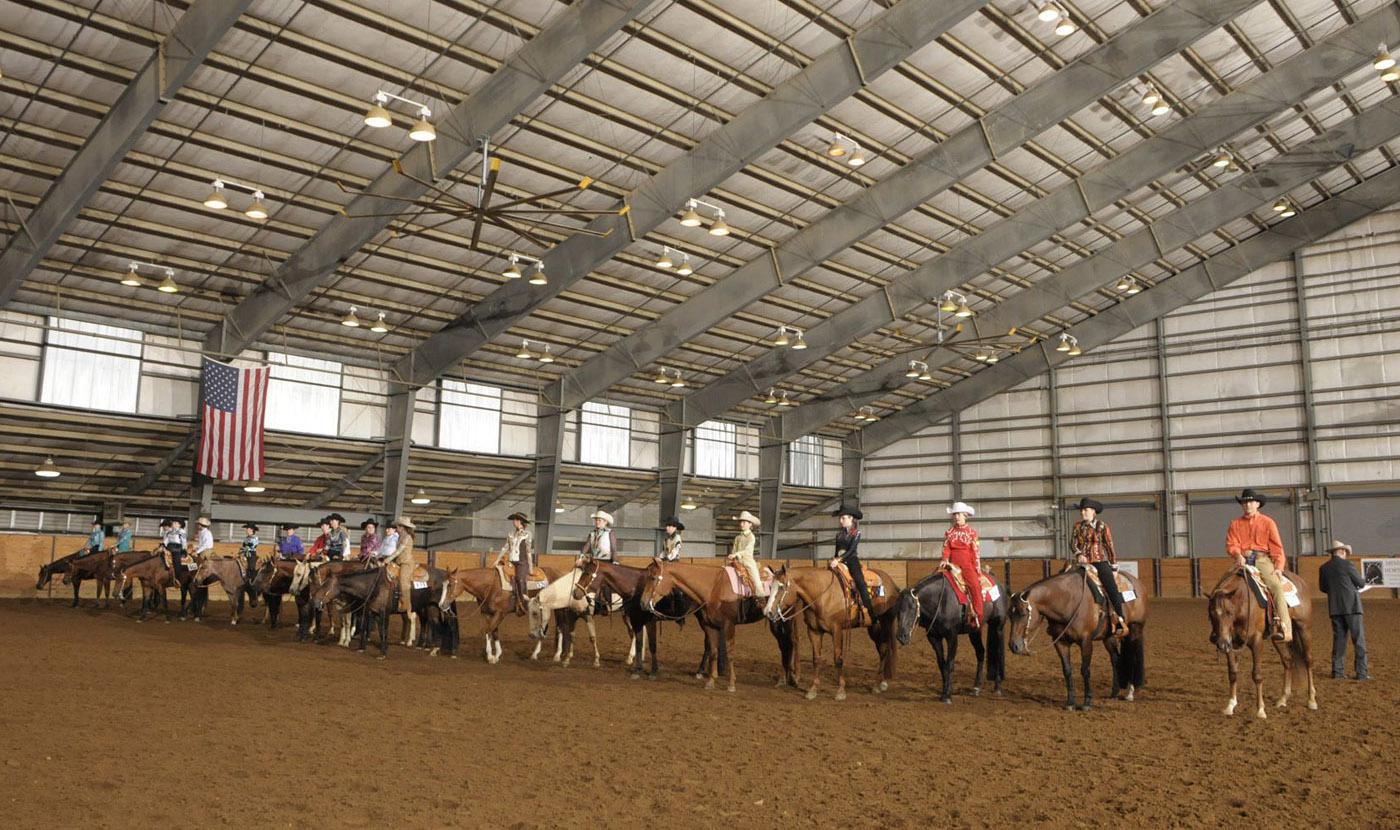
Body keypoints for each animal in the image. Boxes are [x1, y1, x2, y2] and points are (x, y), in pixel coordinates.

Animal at [638, 557, 795, 691]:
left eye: (653, 578)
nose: (642, 603)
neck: (714, 587)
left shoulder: (729, 625)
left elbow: (730, 652)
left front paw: (731, 684)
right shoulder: (710, 626)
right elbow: (713, 651)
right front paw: (710, 681)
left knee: (786, 646)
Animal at [761, 562, 901, 699]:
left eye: (781, 587)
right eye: (770, 587)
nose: (767, 612)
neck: (822, 595)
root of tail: (892, 584)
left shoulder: (837, 630)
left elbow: (838, 659)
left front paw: (840, 691)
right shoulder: (814, 631)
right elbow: (816, 659)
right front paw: (813, 690)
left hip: (885, 623)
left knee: (884, 649)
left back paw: (877, 685)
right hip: (873, 627)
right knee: (883, 648)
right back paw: (881, 683)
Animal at [896, 573, 1008, 702]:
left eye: (913, 608)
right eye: (897, 609)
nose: (901, 636)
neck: (941, 602)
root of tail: (999, 585)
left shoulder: (952, 637)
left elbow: (950, 663)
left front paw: (947, 696)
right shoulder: (934, 638)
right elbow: (941, 664)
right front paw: (946, 690)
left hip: (998, 627)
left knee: (998, 653)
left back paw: (997, 687)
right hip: (974, 631)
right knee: (980, 652)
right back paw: (976, 688)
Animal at [1008, 565, 1148, 708]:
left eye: (1023, 613)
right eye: (1009, 615)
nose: (1013, 646)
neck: (1067, 601)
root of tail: (1137, 583)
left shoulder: (1085, 641)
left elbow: (1085, 670)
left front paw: (1087, 702)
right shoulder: (1060, 642)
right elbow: (1067, 670)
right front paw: (1070, 703)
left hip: (1135, 630)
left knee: (1133, 656)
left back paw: (1130, 693)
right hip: (1109, 637)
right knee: (1115, 659)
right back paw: (1114, 692)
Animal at [1209, 565, 1316, 716]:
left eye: (1229, 613)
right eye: (1212, 614)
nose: (1221, 644)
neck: (1243, 602)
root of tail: (1301, 581)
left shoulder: (1256, 641)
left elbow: (1257, 675)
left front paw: (1260, 709)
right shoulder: (1230, 642)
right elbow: (1232, 673)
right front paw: (1230, 705)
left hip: (1304, 627)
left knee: (1308, 660)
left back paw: (1311, 700)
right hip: (1278, 637)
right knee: (1287, 660)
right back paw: (1283, 699)